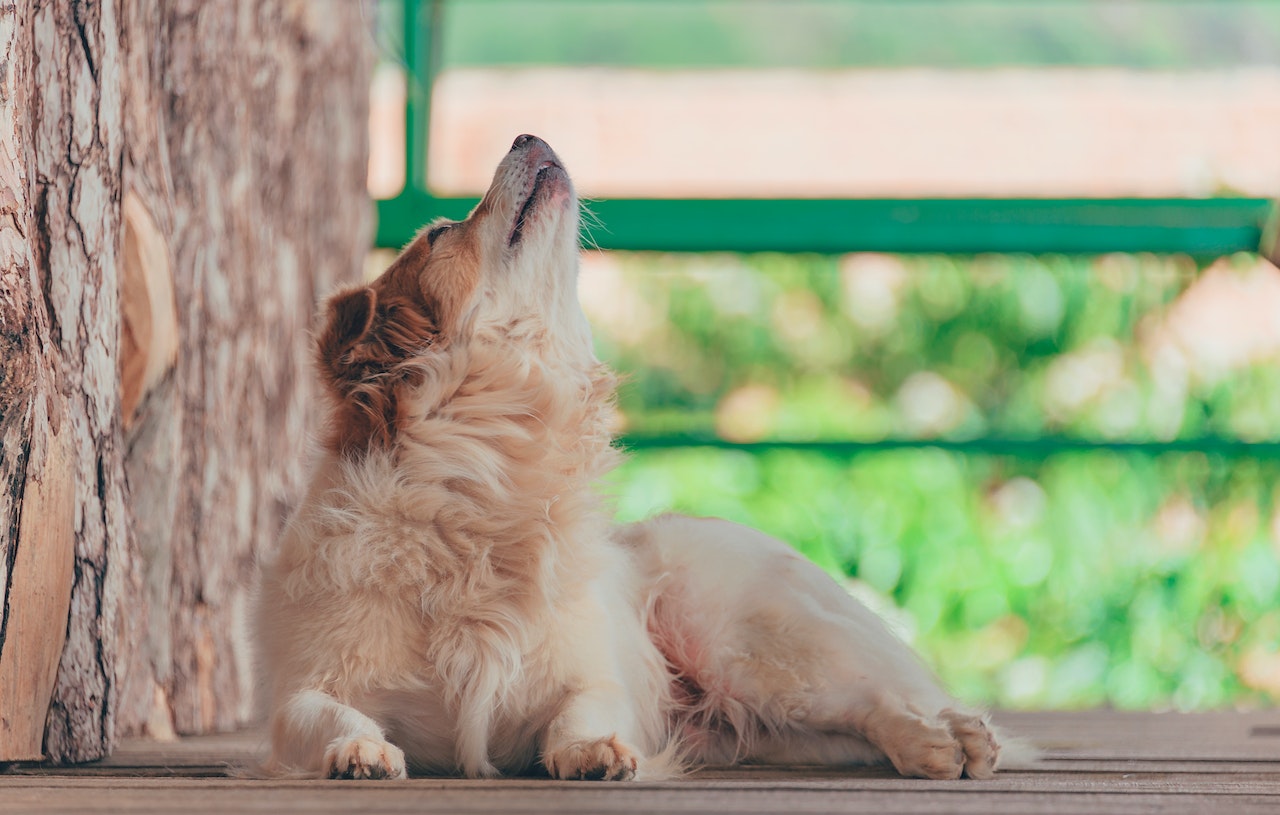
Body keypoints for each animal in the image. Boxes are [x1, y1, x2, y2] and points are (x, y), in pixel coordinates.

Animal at [254, 133, 1003, 783]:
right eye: (441, 234)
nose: (527, 134)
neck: (480, 478)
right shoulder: (303, 689)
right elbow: (326, 714)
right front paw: (359, 748)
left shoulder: (591, 676)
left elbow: (582, 710)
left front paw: (590, 750)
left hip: (752, 651)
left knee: (867, 700)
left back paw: (943, 739)